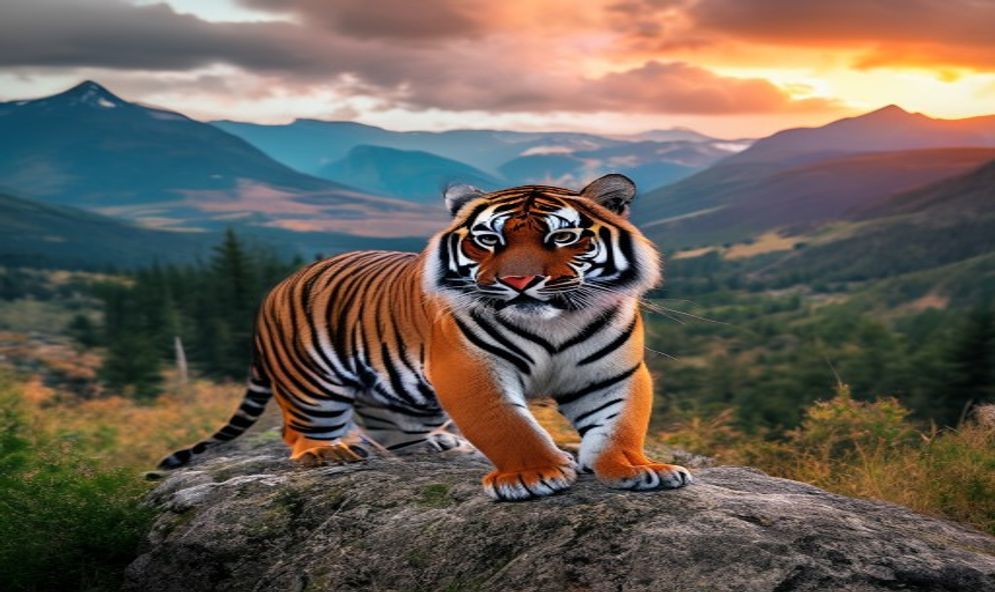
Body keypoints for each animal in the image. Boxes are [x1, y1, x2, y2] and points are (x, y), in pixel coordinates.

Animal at [156, 174, 692, 500]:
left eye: (562, 237)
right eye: (489, 239)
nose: (519, 281)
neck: (555, 321)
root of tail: (279, 284)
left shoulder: (613, 374)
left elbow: (620, 425)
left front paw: (637, 469)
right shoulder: (470, 369)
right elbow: (508, 425)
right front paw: (532, 474)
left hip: (401, 391)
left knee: (387, 427)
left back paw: (438, 445)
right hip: (312, 382)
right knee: (299, 429)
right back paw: (327, 451)